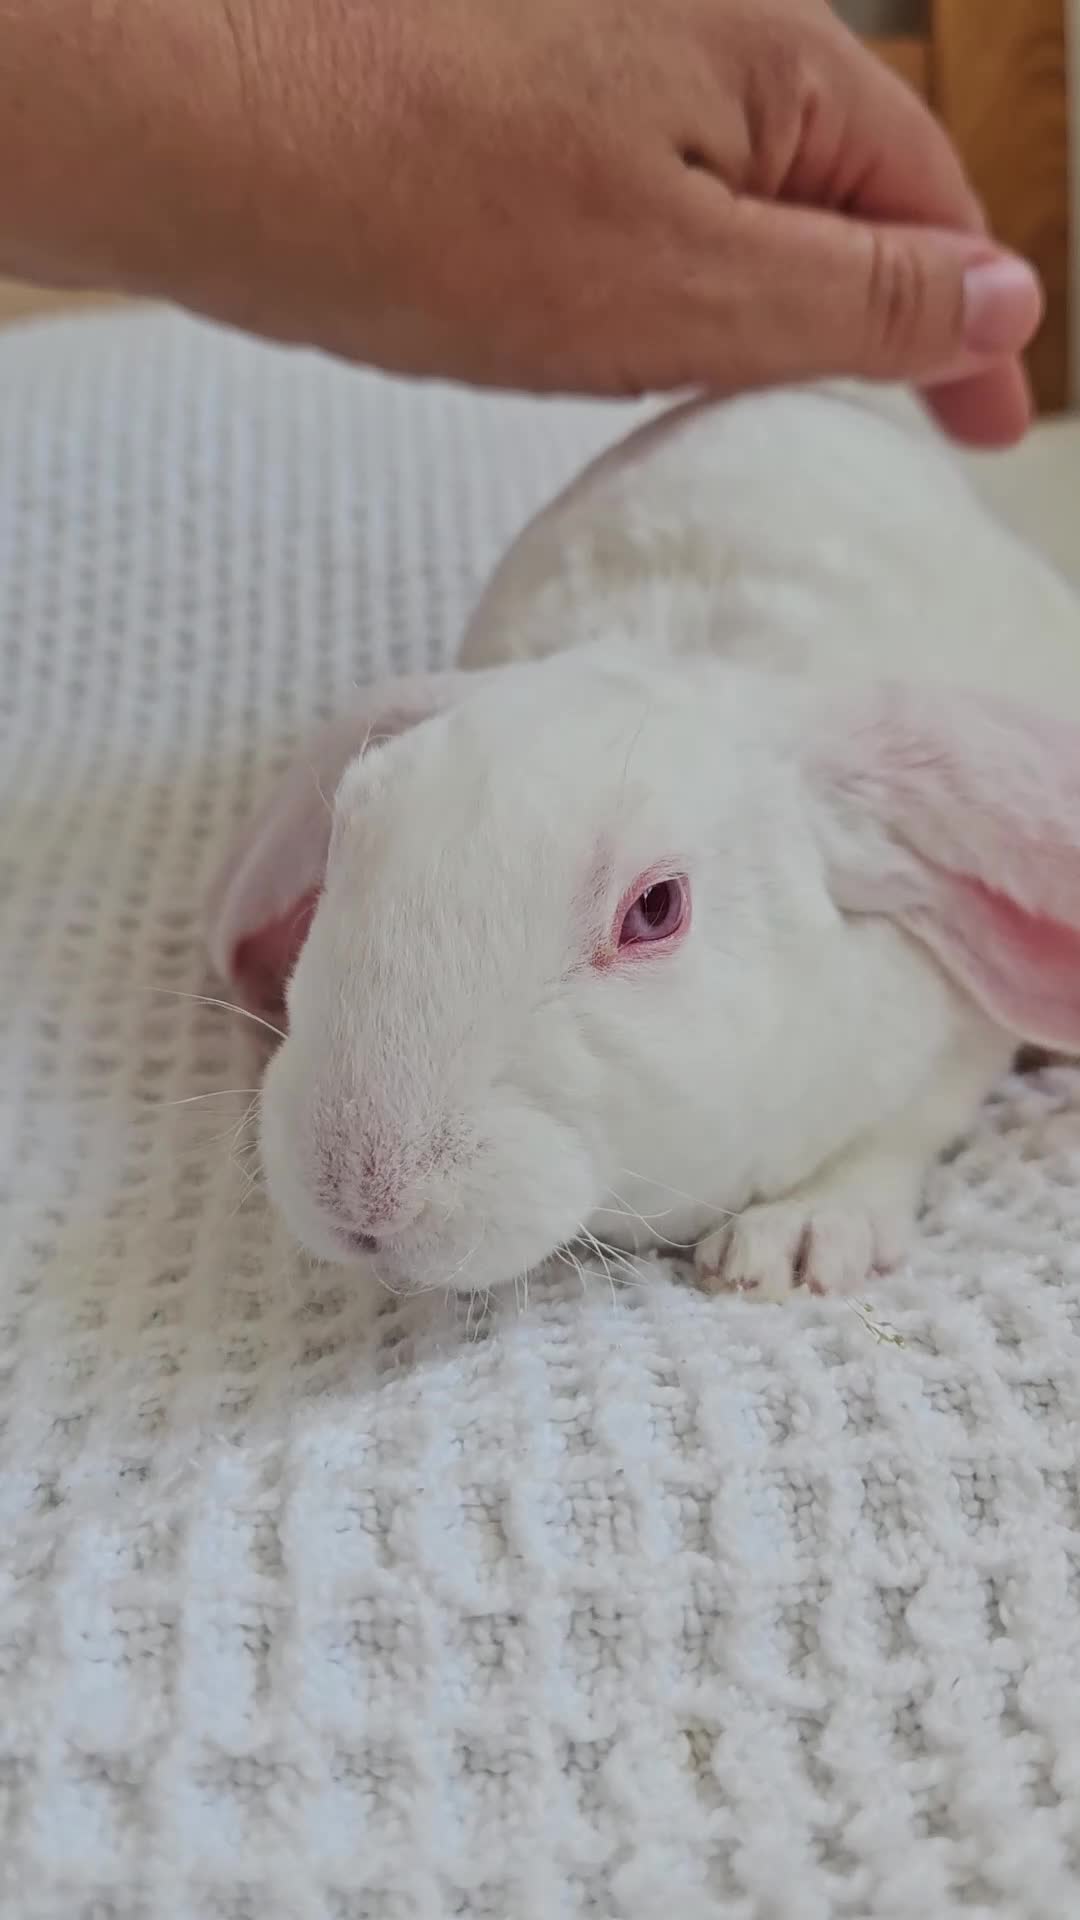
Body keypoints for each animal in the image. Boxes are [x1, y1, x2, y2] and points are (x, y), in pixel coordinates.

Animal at [208, 382, 1080, 1304]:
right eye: (346, 836)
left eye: (657, 908)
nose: (359, 1195)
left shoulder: (949, 1039)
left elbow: (899, 1134)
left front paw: (795, 1240)